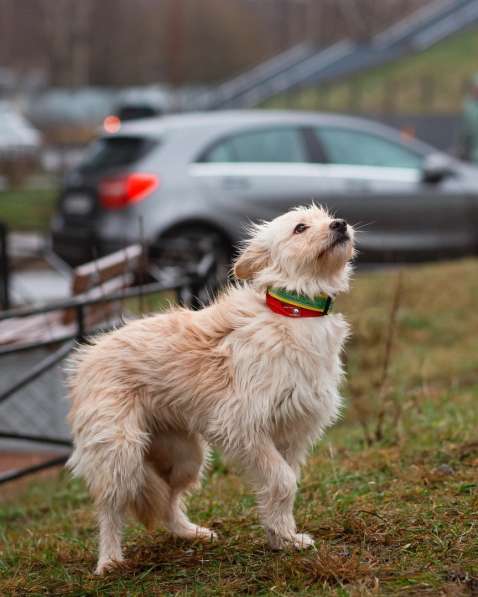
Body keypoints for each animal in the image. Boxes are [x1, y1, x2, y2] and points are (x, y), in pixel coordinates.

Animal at [67, 204, 354, 572]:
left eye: (328, 217)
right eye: (300, 228)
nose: (340, 224)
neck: (294, 313)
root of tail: (86, 358)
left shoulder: (292, 432)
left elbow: (283, 487)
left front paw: (283, 538)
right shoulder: (242, 426)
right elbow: (282, 481)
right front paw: (282, 535)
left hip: (185, 456)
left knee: (168, 502)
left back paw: (190, 533)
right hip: (120, 452)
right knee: (110, 508)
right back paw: (109, 560)